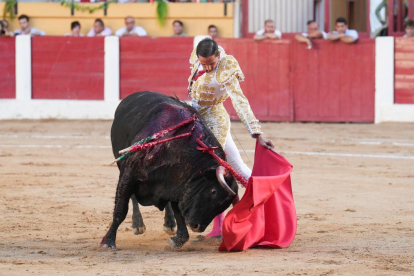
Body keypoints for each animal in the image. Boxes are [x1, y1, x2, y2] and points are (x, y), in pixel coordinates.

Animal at [101, 91, 239, 249]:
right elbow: (121, 209)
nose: (197, 227)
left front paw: (178, 239)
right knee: (133, 198)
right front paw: (108, 241)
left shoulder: (177, 184)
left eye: (224, 205)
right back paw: (137, 224)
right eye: (213, 191)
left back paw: (169, 224)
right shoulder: (129, 173)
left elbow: (178, 211)